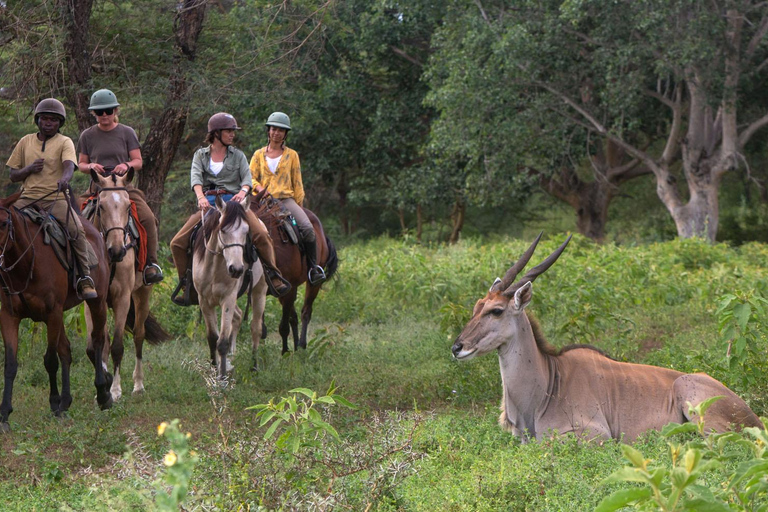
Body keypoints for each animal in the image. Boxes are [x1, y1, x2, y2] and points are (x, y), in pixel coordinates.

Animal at [0, 190, 113, 430]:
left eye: (4, 223)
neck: (26, 263)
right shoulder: (9, 316)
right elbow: (11, 365)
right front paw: (4, 414)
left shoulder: (52, 312)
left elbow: (50, 361)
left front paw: (53, 403)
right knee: (67, 351)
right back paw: (67, 401)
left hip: (97, 302)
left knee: (97, 340)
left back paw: (103, 393)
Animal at [85, 172, 172, 400]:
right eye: (101, 206)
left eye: (127, 206)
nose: (117, 250)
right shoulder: (91, 301)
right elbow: (96, 345)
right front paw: (102, 388)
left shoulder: (122, 298)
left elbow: (117, 345)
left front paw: (115, 390)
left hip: (142, 293)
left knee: (139, 335)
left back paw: (138, 384)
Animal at [192, 197, 268, 380]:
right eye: (223, 230)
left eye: (246, 231)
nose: (237, 269)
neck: (213, 269)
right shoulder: (204, 301)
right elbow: (212, 338)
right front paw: (214, 368)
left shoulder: (228, 299)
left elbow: (223, 342)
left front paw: (222, 377)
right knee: (239, 316)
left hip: (259, 291)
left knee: (255, 328)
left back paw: (254, 366)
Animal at [250, 198, 338, 354]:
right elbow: (261, 328)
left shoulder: (288, 290)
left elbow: (284, 327)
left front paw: (285, 353)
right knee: (295, 317)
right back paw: (296, 346)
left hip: (313, 284)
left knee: (305, 312)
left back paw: (302, 346)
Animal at [452, 234, 760, 442]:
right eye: (476, 306)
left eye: (496, 310)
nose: (457, 347)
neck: (549, 382)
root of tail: (752, 416)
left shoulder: (596, 435)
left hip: (698, 407)